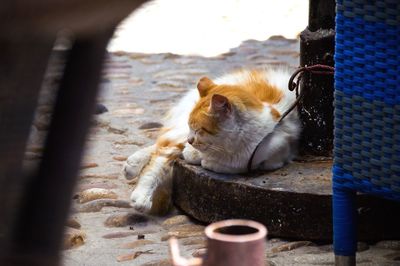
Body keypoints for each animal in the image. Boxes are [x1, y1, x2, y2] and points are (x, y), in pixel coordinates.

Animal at [122, 68, 300, 214]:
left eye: (200, 129)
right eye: (192, 127)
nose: (191, 139)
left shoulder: (277, 151)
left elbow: (245, 164)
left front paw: (208, 161)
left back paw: (132, 165)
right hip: (180, 133)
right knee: (162, 151)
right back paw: (139, 189)